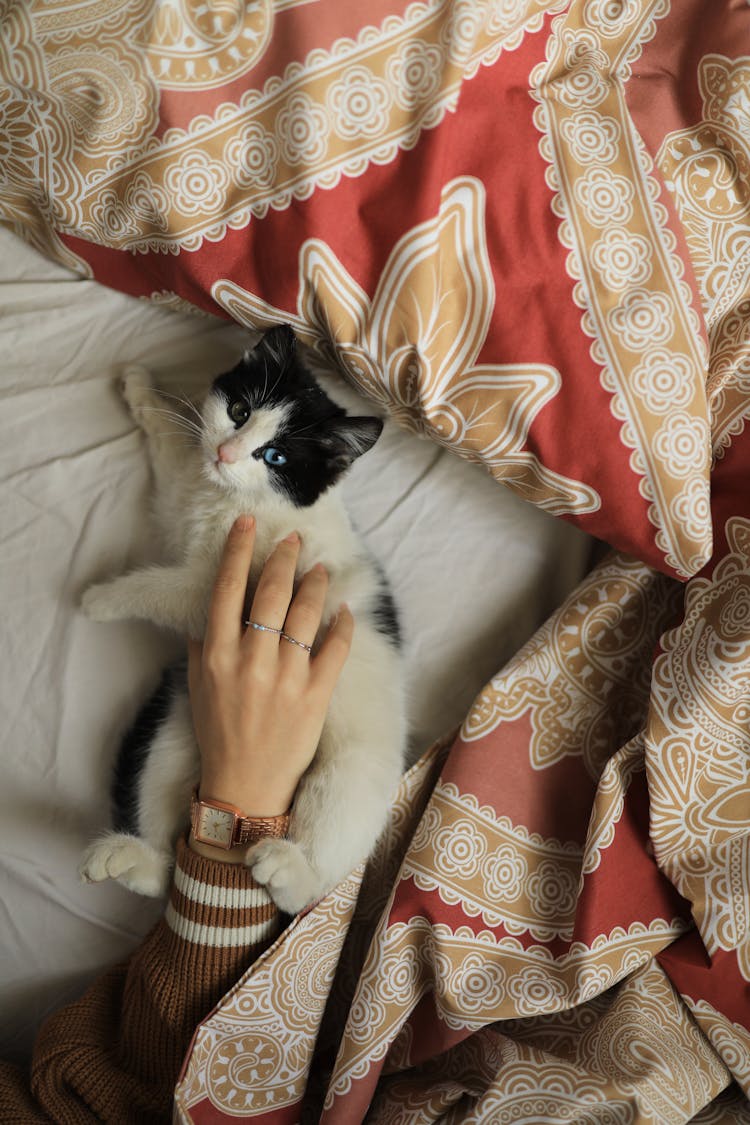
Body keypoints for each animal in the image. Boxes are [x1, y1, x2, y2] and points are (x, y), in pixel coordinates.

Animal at [79, 326, 407, 913]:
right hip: (177, 731)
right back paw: (134, 860)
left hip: (352, 772)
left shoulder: (223, 588)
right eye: (238, 411)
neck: (233, 497)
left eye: (274, 455)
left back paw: (290, 869)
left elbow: (165, 590)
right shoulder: (185, 493)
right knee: (167, 849)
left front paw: (101, 598)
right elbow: (172, 446)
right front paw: (142, 389)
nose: (225, 453)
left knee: (311, 876)